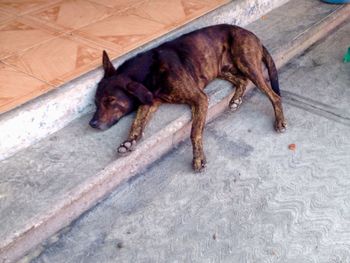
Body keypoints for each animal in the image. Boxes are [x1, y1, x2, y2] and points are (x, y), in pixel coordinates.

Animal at [89, 24, 286, 173]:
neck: (149, 73)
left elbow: (194, 132)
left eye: (110, 100)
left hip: (246, 62)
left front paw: (198, 158)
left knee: (274, 95)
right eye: (96, 102)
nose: (92, 124)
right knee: (242, 80)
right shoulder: (150, 101)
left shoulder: (199, 98)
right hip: (222, 68)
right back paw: (236, 100)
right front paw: (129, 140)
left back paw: (280, 121)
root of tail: (253, 35)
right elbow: (136, 122)